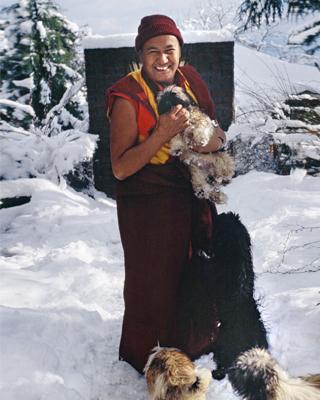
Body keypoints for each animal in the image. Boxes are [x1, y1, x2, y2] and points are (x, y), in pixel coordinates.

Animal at [179, 211, 268, 380]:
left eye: (220, 223)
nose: (220, 213)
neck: (235, 251)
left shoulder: (211, 275)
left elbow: (203, 265)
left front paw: (196, 254)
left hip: (223, 343)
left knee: (225, 365)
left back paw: (217, 372)